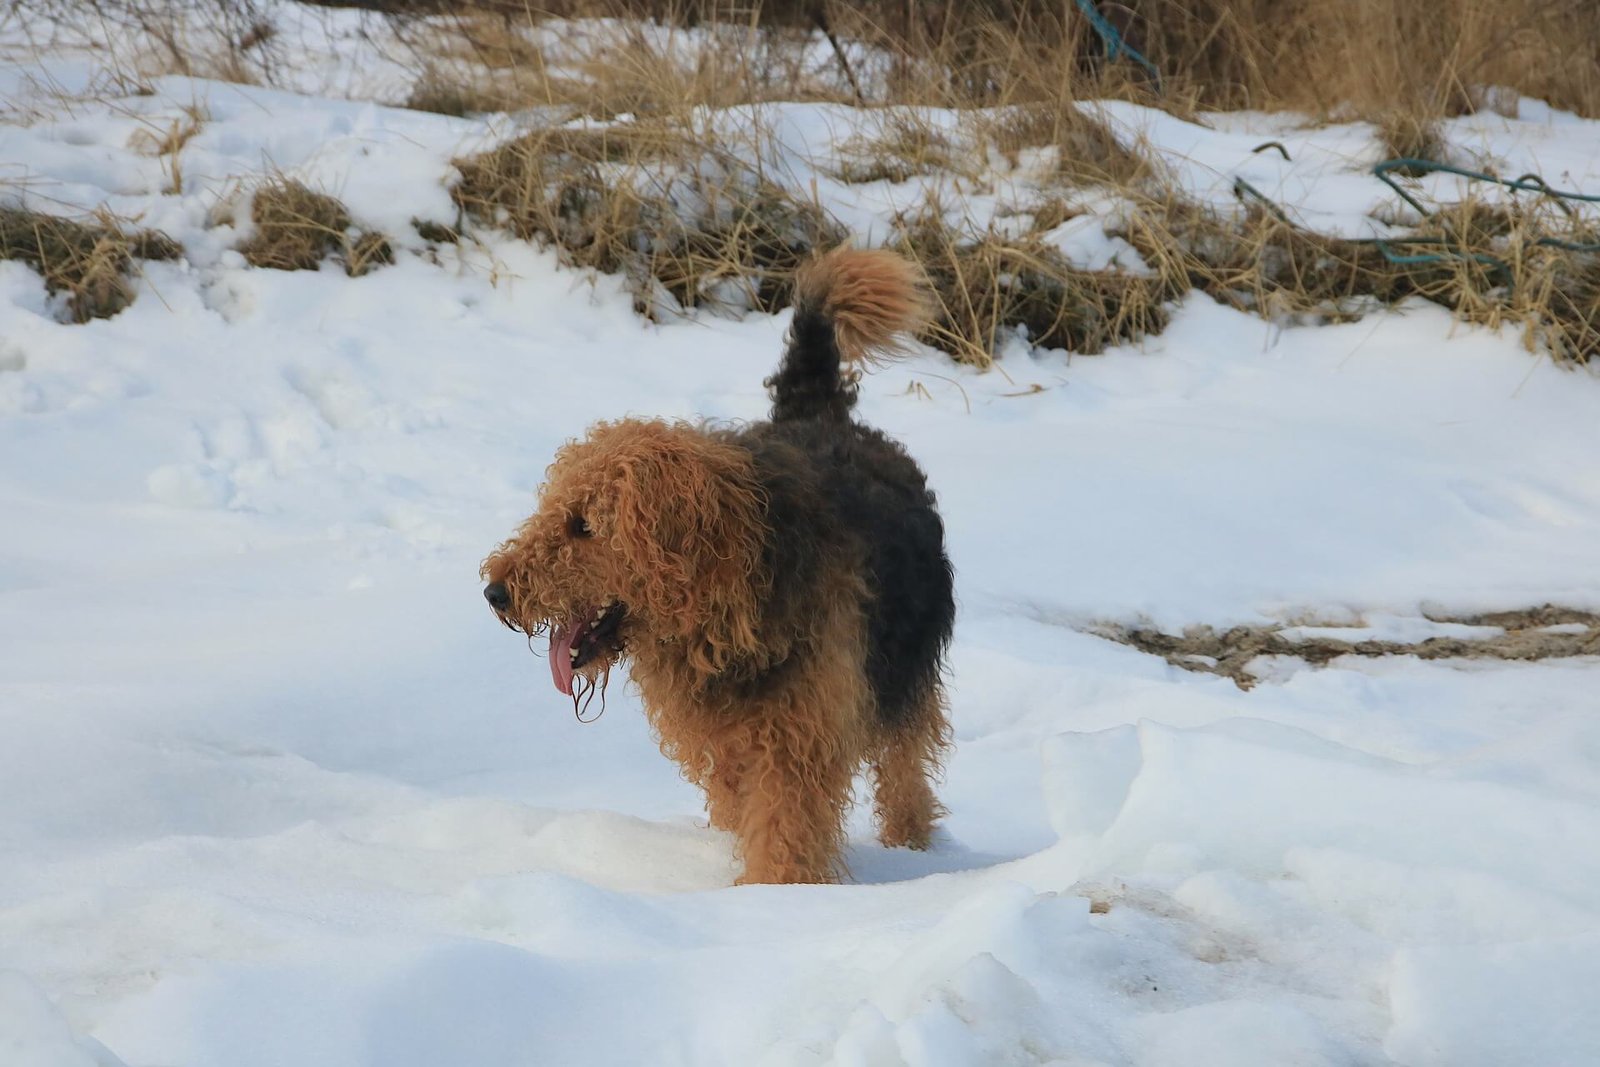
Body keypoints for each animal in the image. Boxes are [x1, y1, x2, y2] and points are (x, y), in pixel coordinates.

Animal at [480, 251, 953, 883]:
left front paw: (773, 896)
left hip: (904, 675)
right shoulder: (725, 743)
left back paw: (912, 847)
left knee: (906, 774)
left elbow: (782, 835)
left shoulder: (795, 742)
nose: (495, 593)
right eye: (552, 509)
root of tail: (819, 414)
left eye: (584, 524)